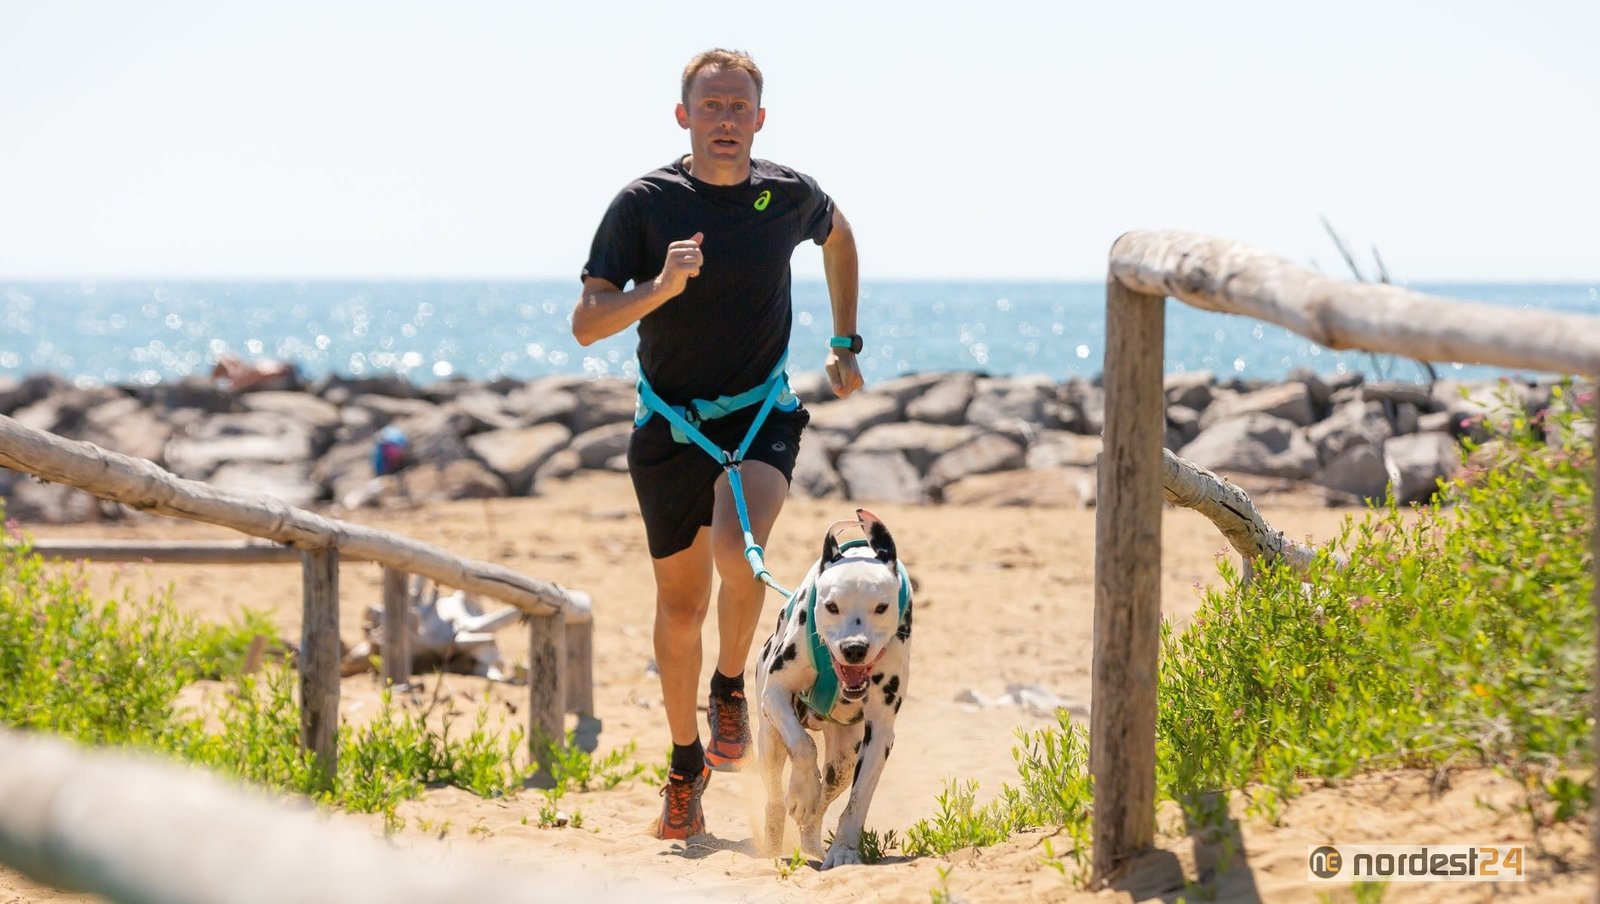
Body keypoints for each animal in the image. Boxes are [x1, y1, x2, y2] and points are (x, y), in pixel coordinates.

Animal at [752, 508, 908, 864]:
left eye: (881, 607)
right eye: (832, 606)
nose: (854, 648)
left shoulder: (880, 732)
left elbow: (857, 801)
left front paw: (844, 852)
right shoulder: (775, 694)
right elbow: (803, 745)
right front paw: (803, 790)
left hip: (845, 756)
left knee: (823, 803)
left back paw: (811, 842)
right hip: (769, 741)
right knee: (775, 795)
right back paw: (774, 837)